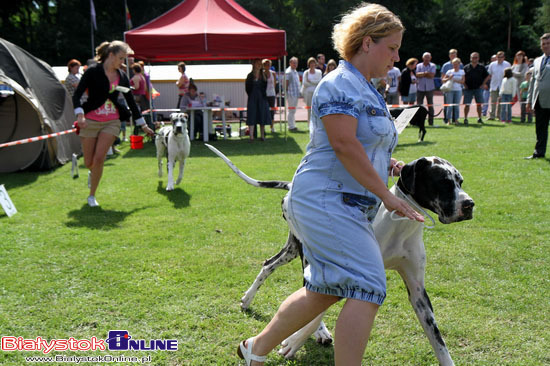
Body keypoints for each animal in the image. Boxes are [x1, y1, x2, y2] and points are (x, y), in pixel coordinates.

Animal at [209, 144, 476, 366]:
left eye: (461, 181)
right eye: (442, 182)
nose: (469, 204)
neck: (399, 225)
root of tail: (291, 186)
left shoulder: (418, 291)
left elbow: (438, 342)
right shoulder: (353, 276)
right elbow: (316, 311)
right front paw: (294, 342)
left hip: (293, 250)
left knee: (269, 265)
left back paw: (248, 300)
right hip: (309, 256)